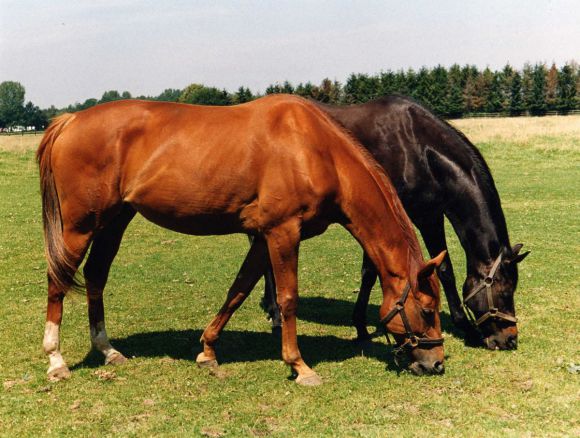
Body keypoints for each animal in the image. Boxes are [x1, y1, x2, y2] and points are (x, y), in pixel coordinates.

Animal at [36, 94, 444, 384]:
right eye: (427, 310)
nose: (437, 362)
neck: (315, 150)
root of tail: (70, 120)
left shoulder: (263, 238)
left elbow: (239, 290)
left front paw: (208, 350)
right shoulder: (283, 233)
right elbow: (287, 298)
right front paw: (299, 365)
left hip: (114, 221)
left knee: (95, 276)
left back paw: (107, 350)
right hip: (78, 228)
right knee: (57, 281)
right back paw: (55, 360)